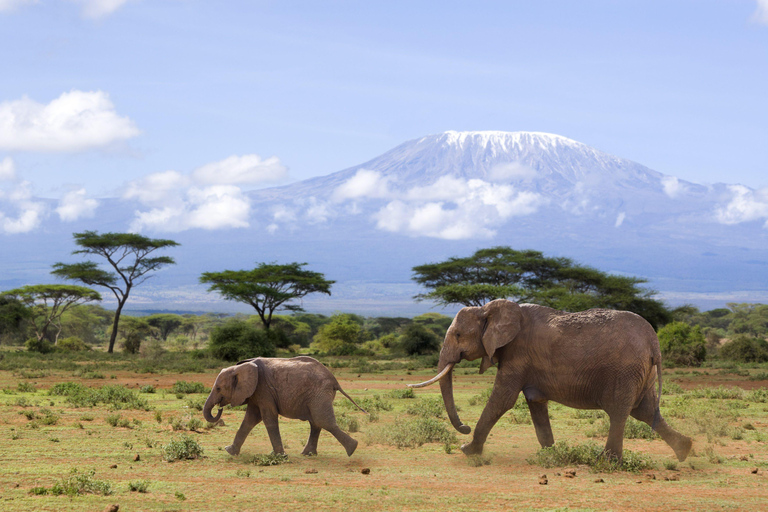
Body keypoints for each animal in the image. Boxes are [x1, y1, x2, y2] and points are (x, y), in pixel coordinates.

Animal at [201, 356, 364, 456]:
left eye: (218, 389)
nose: (219, 407)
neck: (241, 367)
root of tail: (334, 380)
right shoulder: (256, 392)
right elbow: (250, 420)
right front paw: (229, 451)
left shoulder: (264, 389)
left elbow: (268, 418)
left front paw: (279, 456)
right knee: (316, 423)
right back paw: (307, 454)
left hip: (319, 393)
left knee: (322, 420)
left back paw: (353, 449)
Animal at [412, 298, 692, 462]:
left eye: (459, 335)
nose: (464, 427)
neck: (489, 309)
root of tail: (654, 341)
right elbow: (535, 402)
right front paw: (550, 453)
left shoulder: (517, 353)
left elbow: (502, 400)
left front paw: (467, 450)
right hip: (642, 372)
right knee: (645, 410)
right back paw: (685, 451)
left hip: (625, 370)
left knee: (620, 411)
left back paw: (606, 461)